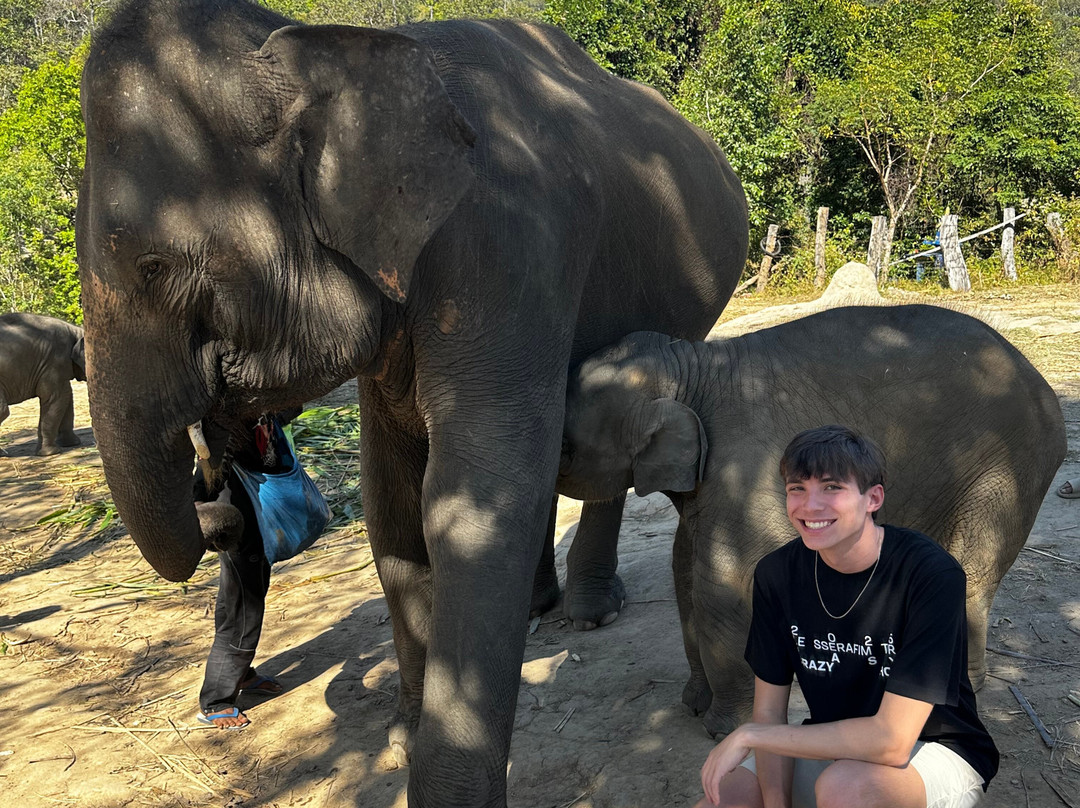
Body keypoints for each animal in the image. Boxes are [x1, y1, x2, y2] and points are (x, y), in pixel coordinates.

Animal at [0, 312, 86, 456]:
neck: (76, 330)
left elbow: (67, 397)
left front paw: (71, 443)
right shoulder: (54, 362)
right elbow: (56, 398)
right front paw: (51, 453)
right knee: (3, 411)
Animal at [75, 0, 749, 804]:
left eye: (154, 266)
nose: (217, 471)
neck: (321, 45)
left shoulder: (504, 248)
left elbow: (468, 502)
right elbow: (392, 501)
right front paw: (401, 740)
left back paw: (589, 616)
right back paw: (539, 607)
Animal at [557, 305, 1066, 738]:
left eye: (564, 448)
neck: (689, 365)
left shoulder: (746, 463)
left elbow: (724, 579)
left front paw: (726, 731)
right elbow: (685, 568)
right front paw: (694, 705)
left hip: (1007, 466)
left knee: (972, 572)